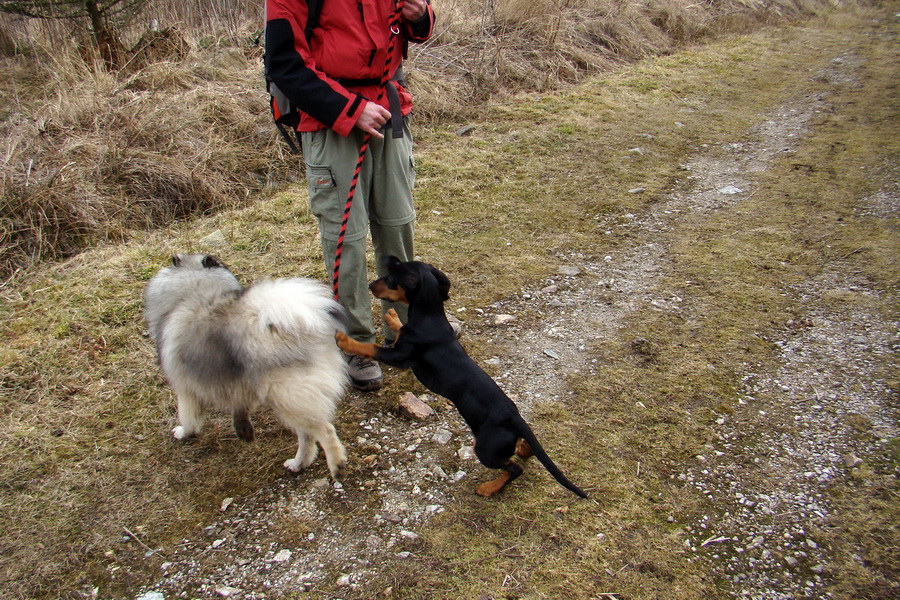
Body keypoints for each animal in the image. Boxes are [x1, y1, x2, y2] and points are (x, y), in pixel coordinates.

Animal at [143, 255, 348, 480]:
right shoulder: (237, 384)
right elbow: (240, 407)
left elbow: (188, 417)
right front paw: (243, 429)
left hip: (290, 397)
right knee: (308, 436)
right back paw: (298, 464)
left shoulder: (186, 388)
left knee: (324, 430)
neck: (195, 288)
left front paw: (182, 432)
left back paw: (336, 465)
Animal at [334, 255, 588, 500]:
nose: (370, 285)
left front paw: (344, 340)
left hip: (486, 449)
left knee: (514, 469)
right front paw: (393, 316)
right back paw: (524, 451)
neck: (430, 317)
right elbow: (400, 327)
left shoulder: (400, 357)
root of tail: (516, 419)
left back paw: (489, 488)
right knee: (523, 448)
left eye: (390, 278)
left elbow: (371, 348)